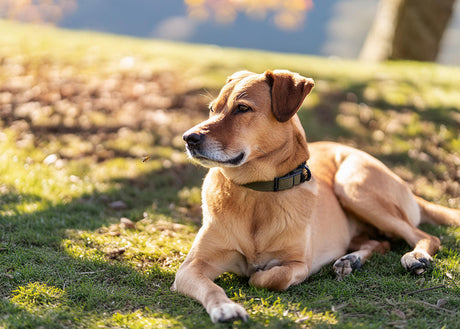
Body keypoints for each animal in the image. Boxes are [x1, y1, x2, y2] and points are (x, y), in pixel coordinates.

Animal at [170, 70, 460, 322]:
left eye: (242, 108)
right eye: (212, 109)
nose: (188, 138)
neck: (257, 192)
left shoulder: (299, 264)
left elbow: (268, 278)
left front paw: (255, 275)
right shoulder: (191, 267)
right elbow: (211, 287)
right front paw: (225, 308)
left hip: (353, 186)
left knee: (425, 236)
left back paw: (414, 257)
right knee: (380, 242)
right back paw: (351, 260)